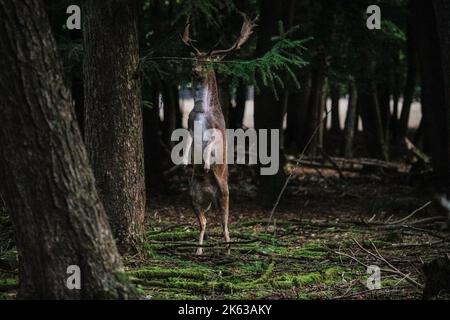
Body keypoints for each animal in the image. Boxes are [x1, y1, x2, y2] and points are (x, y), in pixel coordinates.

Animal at [180, 13, 256, 255]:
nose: (194, 71)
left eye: (207, 61)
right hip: (193, 196)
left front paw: (204, 163)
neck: (202, 111)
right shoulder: (189, 122)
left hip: (224, 193)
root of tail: (209, 196)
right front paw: (185, 161)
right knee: (204, 222)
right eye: (193, 59)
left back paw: (228, 249)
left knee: (224, 223)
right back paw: (198, 250)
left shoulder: (218, 129)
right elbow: (187, 140)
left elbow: (211, 144)